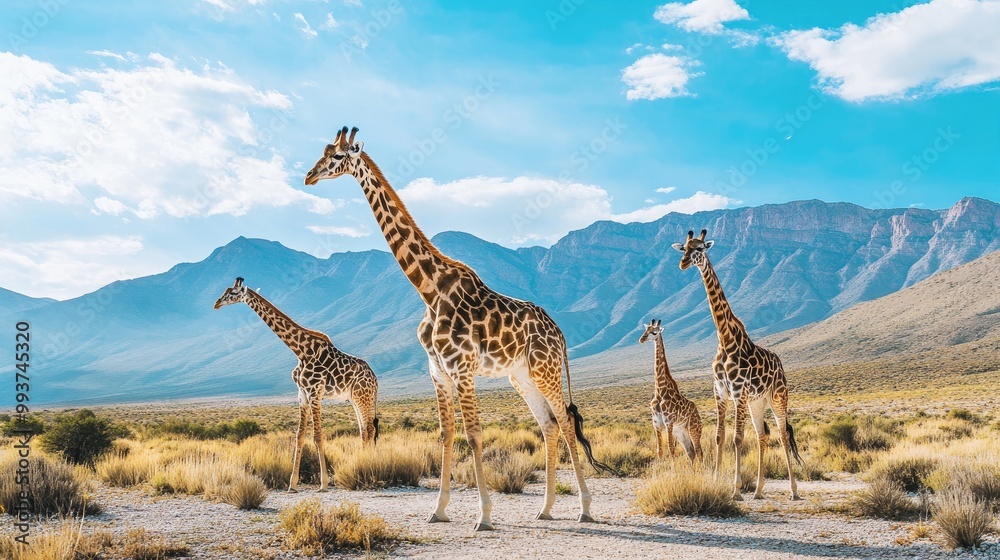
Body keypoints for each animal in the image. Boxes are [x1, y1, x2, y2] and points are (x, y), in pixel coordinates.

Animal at [214, 277, 379, 492]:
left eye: (232, 293)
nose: (216, 304)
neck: (301, 351)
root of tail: (375, 379)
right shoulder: (302, 395)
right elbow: (299, 436)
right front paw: (292, 484)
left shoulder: (315, 393)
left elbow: (318, 436)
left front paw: (323, 484)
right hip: (354, 399)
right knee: (364, 431)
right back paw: (361, 464)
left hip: (363, 396)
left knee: (369, 429)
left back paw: (367, 467)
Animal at [305, 126, 615, 531]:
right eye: (324, 151)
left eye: (338, 157)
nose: (309, 176)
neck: (429, 290)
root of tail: (560, 333)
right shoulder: (438, 372)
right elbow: (446, 434)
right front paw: (438, 510)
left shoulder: (462, 368)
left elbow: (474, 434)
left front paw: (483, 515)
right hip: (521, 376)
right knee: (548, 425)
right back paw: (546, 508)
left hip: (544, 370)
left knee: (563, 421)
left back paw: (586, 507)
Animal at [638, 319, 703, 463]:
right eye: (645, 330)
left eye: (654, 332)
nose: (641, 339)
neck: (660, 389)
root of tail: (699, 416)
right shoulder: (656, 423)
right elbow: (660, 450)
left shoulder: (668, 422)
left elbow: (671, 449)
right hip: (681, 432)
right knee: (691, 452)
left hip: (694, 429)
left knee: (699, 451)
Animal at [673, 230, 802, 501]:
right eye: (684, 249)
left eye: (700, 248)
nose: (683, 263)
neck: (725, 338)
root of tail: (781, 365)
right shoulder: (720, 391)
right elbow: (720, 437)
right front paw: (717, 482)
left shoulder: (738, 392)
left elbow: (738, 439)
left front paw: (735, 490)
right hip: (757, 402)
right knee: (762, 435)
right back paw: (759, 491)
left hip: (778, 396)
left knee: (783, 434)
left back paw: (794, 491)